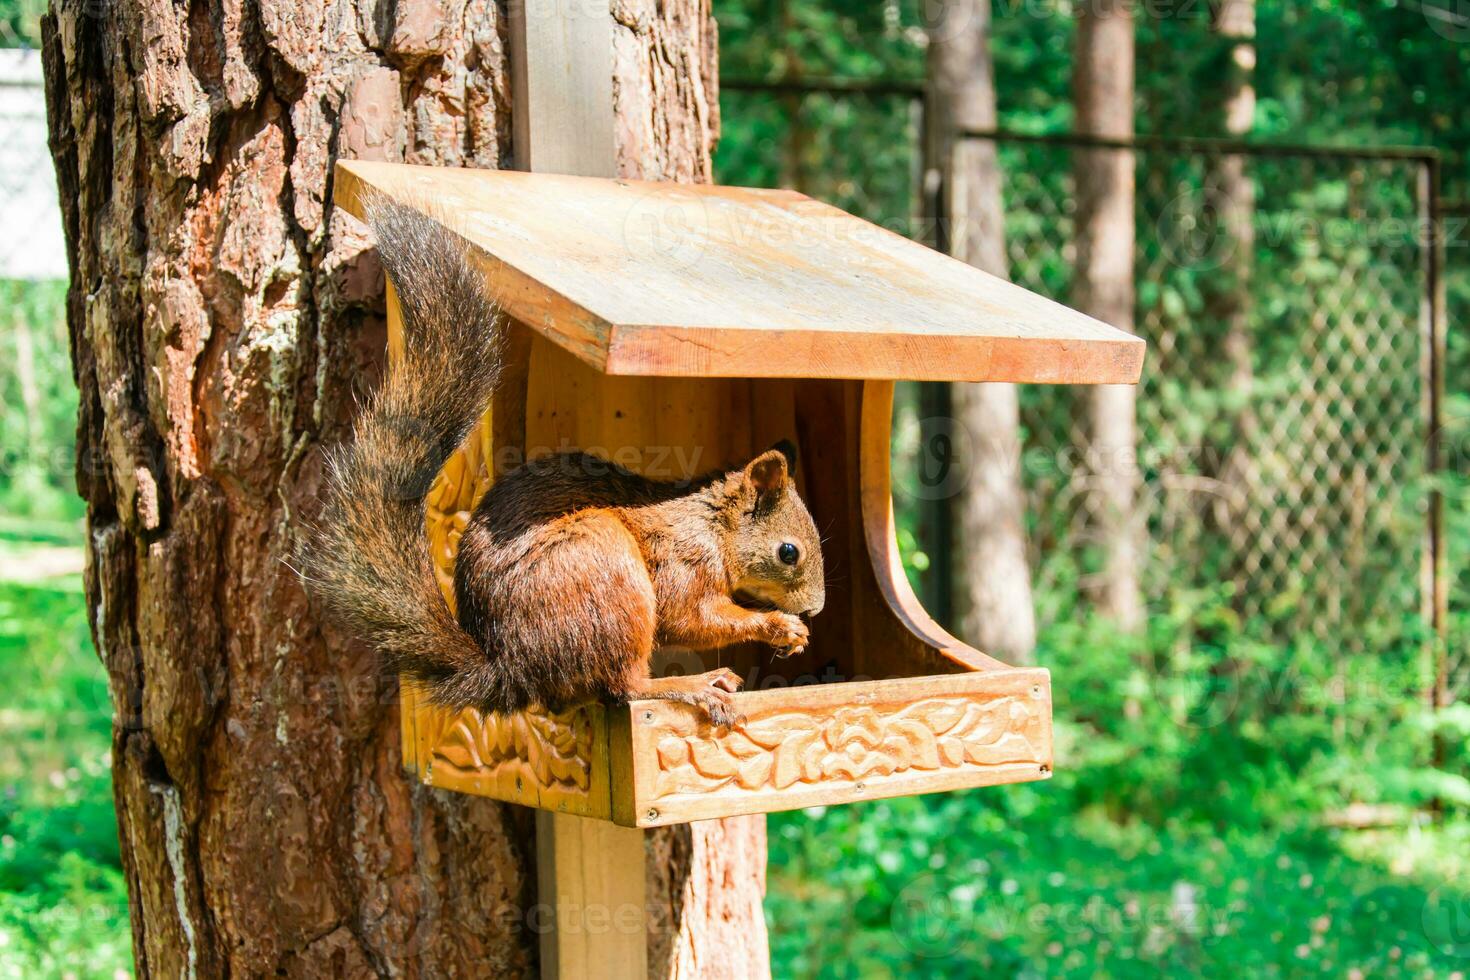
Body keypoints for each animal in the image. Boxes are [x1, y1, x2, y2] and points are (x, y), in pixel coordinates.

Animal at [304, 199, 829, 728]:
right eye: (788, 552)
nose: (815, 610)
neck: (712, 524)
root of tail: (512, 669)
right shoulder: (684, 562)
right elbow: (693, 618)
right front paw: (780, 626)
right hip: (602, 567)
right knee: (624, 686)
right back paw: (694, 685)